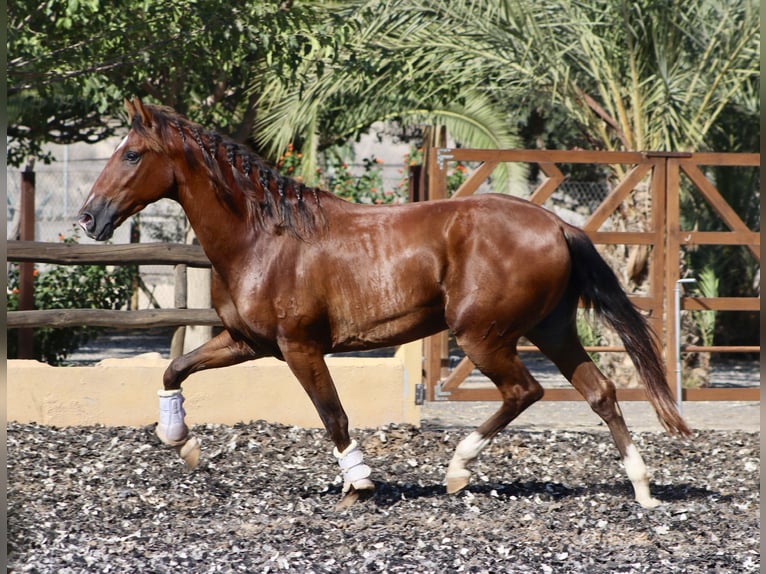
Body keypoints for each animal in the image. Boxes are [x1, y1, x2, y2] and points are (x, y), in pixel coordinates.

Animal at [78, 99, 688, 508]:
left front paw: (359, 484)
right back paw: (642, 489)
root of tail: (559, 225)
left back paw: (459, 470)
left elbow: (333, 414)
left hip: (484, 336)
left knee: (526, 391)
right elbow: (175, 367)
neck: (263, 238)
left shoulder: (300, 347)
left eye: (132, 154)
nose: (88, 218)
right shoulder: (248, 342)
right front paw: (180, 442)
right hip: (550, 329)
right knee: (600, 391)